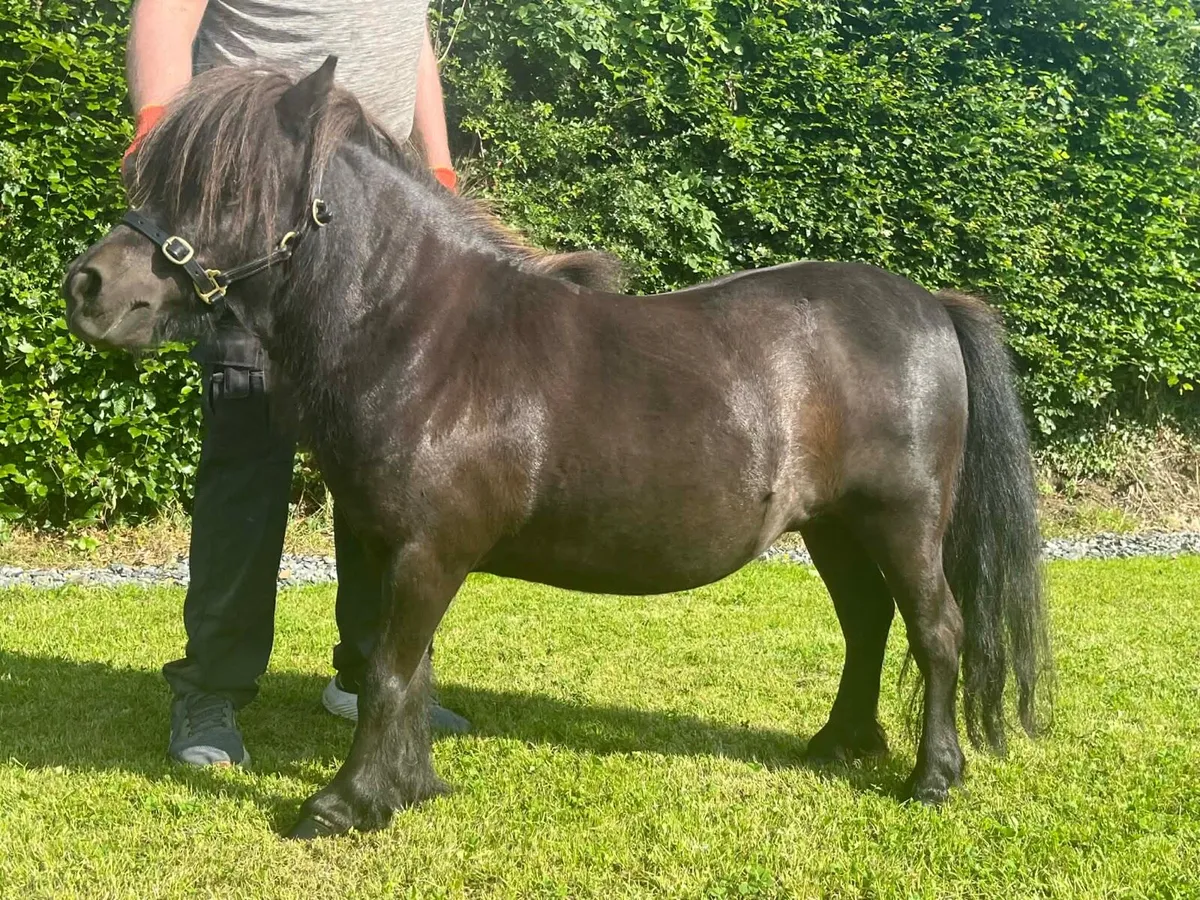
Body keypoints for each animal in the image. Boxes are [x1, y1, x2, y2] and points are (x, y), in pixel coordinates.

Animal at [63, 57, 1051, 839]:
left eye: (226, 188)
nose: (89, 287)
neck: (422, 334)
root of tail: (929, 306)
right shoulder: (388, 547)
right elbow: (403, 669)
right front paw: (408, 786)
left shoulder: (429, 550)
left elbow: (388, 673)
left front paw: (344, 803)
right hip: (834, 527)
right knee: (867, 626)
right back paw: (838, 744)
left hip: (903, 522)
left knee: (936, 630)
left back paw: (932, 777)